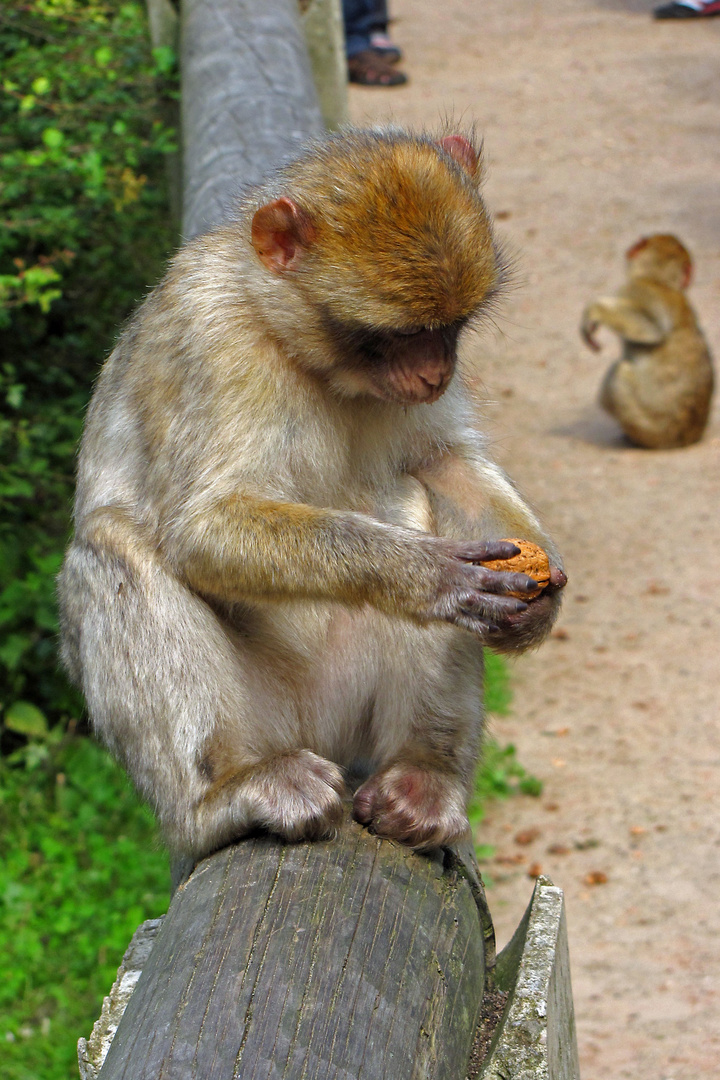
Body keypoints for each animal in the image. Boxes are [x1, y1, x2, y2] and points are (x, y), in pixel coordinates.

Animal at [578, 234, 716, 449]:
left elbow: (652, 328)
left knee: (620, 372)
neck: (661, 281)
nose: (630, 249)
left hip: (652, 426)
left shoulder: (636, 288)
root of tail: (686, 439)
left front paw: (595, 310)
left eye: (639, 244)